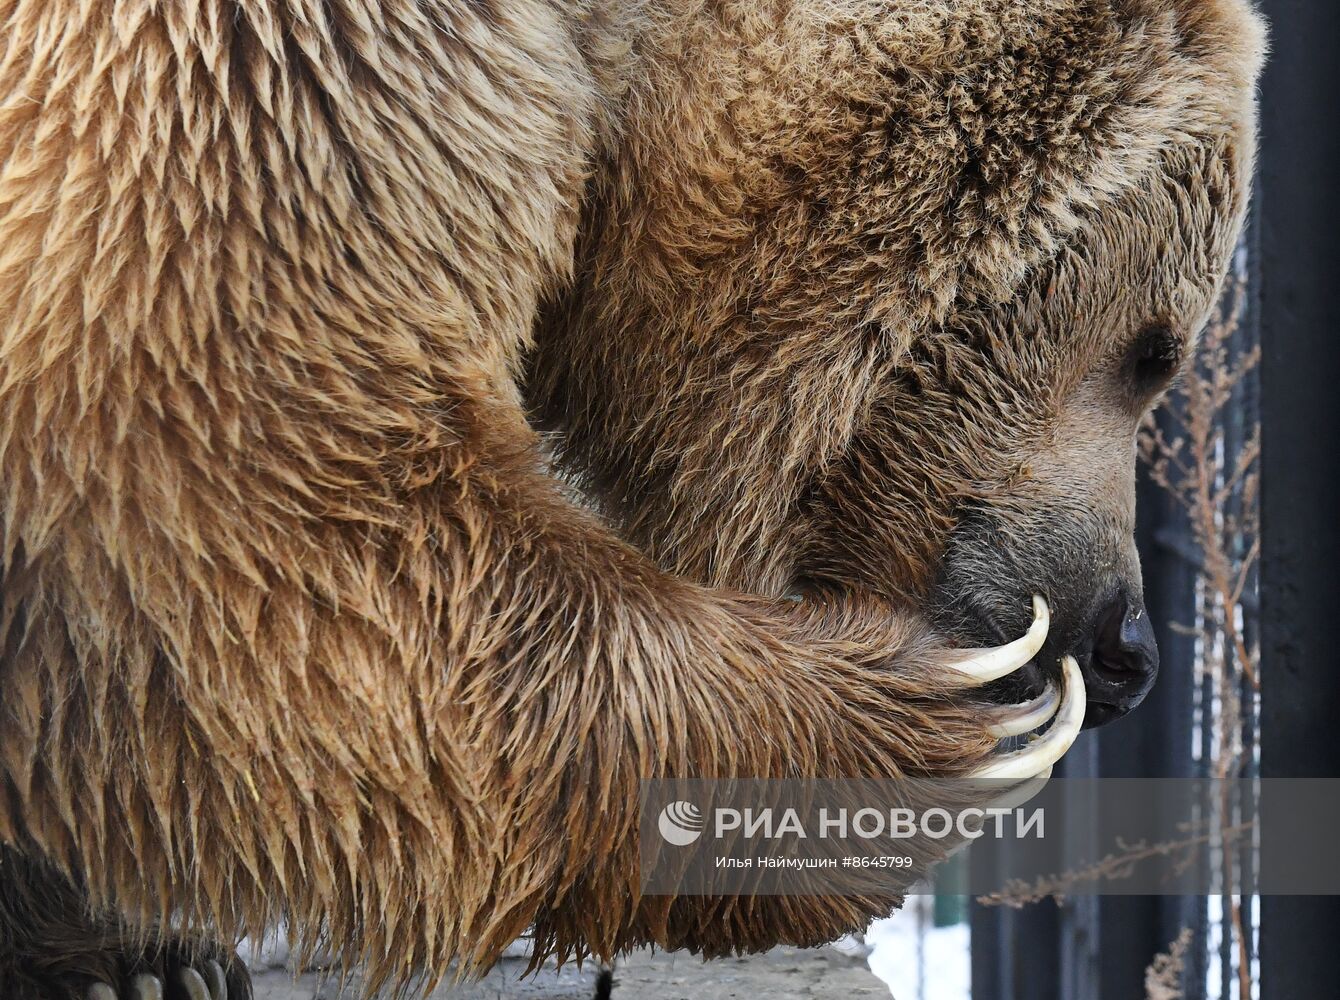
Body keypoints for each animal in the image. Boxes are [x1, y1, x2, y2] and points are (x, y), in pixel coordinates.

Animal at [0, 0, 1264, 991]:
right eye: (1154, 349)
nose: (1124, 645)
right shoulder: (276, 73)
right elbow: (271, 485)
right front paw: (945, 729)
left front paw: (127, 946)